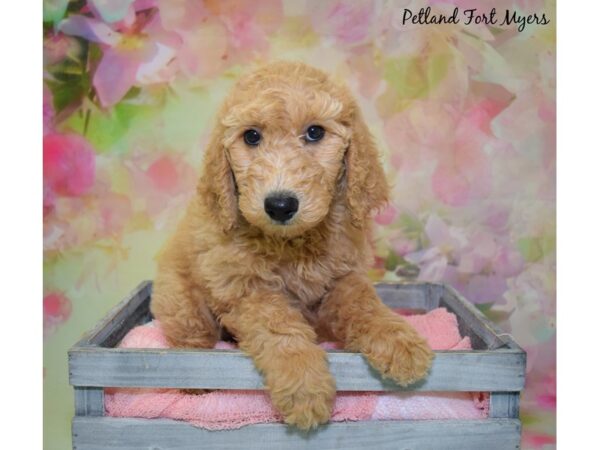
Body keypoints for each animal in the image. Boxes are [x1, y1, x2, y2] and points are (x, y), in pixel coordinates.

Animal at [149, 59, 432, 428]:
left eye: (315, 132)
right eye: (251, 136)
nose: (280, 205)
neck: (294, 243)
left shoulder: (342, 277)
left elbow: (364, 303)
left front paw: (399, 342)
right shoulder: (245, 289)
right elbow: (280, 328)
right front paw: (304, 387)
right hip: (180, 299)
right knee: (190, 335)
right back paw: (193, 380)